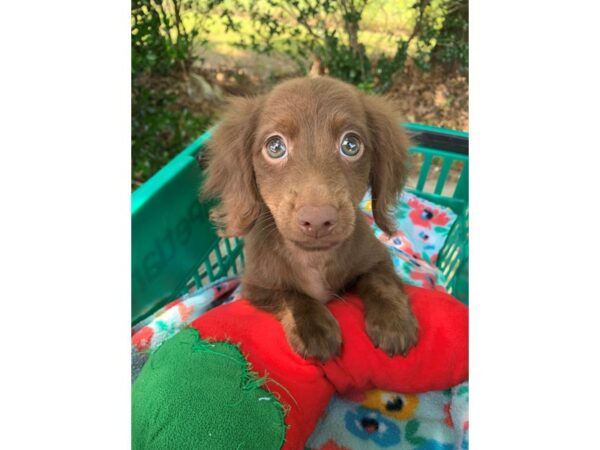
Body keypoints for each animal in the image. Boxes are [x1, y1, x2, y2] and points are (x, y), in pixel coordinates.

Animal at [202, 76, 418, 362]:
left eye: (351, 145)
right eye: (275, 147)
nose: (317, 220)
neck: (314, 257)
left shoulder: (379, 258)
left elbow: (381, 282)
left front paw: (393, 321)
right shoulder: (255, 286)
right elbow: (292, 295)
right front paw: (314, 328)